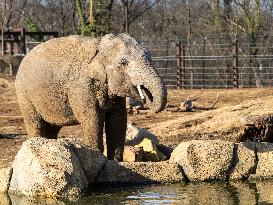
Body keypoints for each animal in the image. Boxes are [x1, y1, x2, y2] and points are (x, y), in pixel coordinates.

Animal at [15, 33, 167, 161]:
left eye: (149, 56)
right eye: (124, 62)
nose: (147, 96)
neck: (99, 44)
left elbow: (118, 120)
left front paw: (115, 162)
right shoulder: (81, 88)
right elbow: (93, 119)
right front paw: (97, 158)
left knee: (52, 127)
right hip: (24, 93)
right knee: (35, 122)